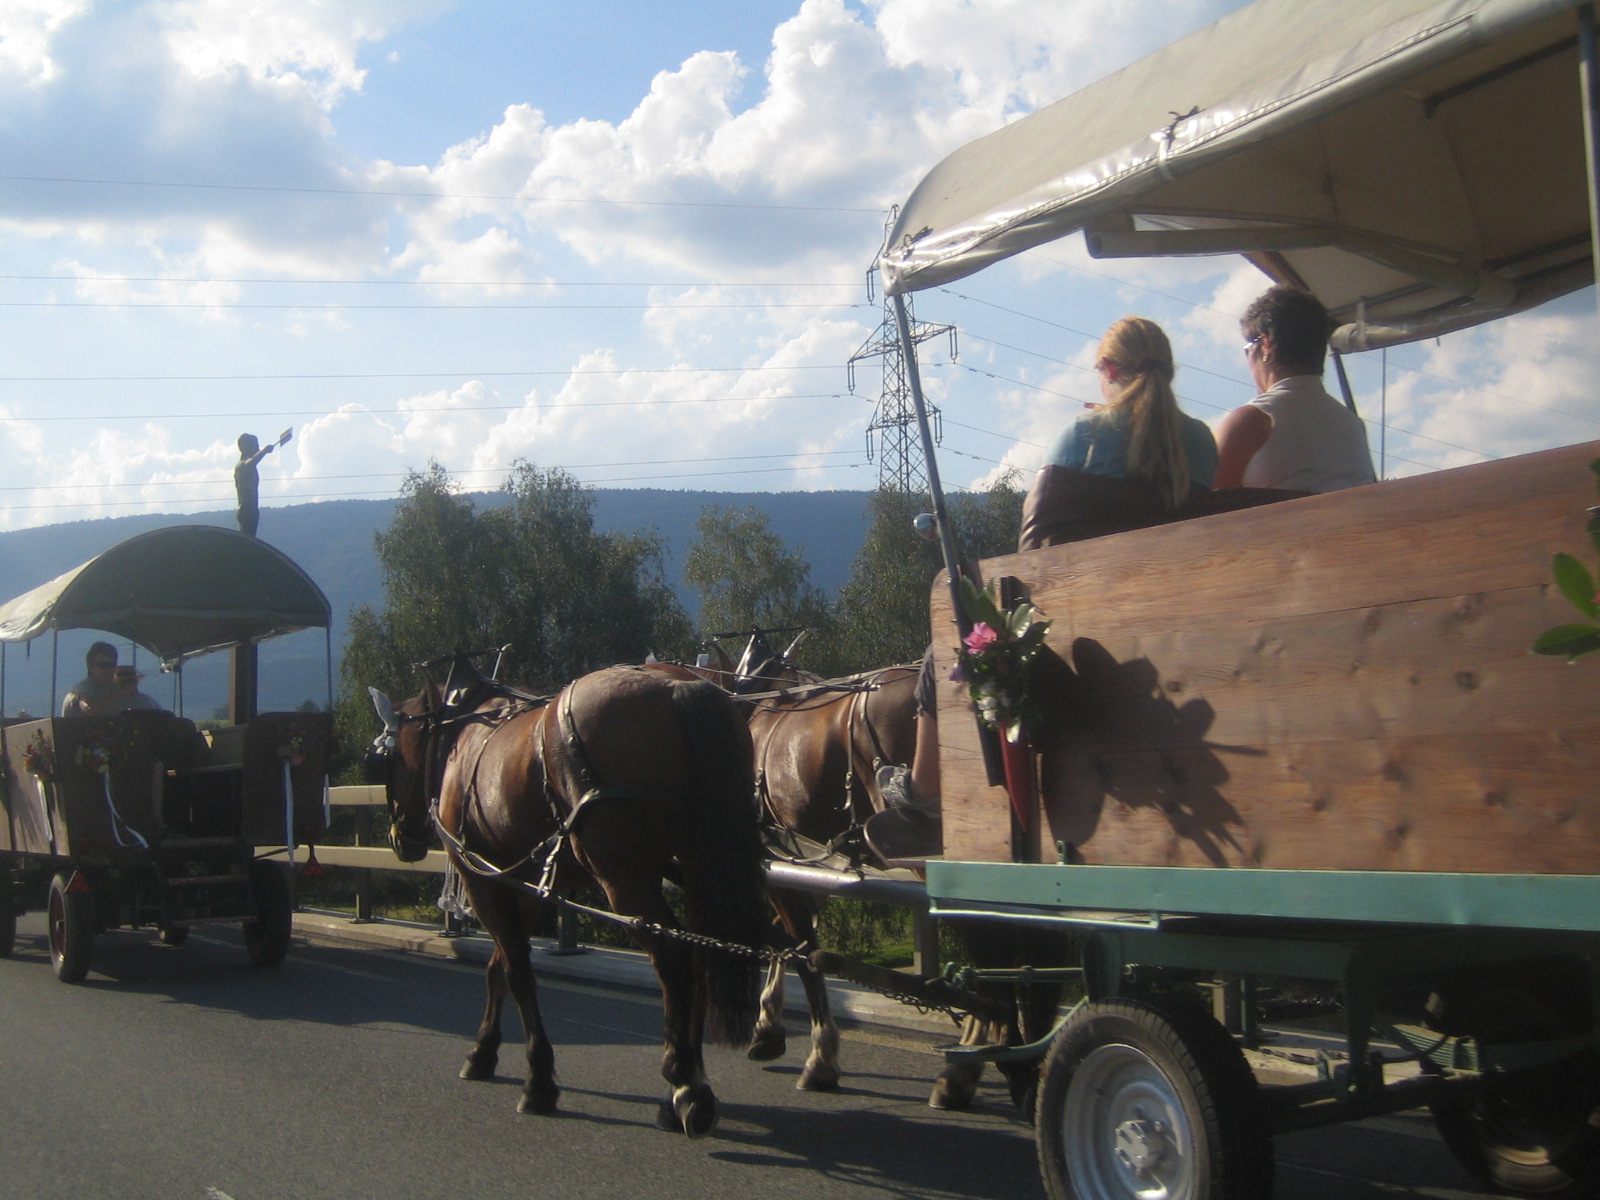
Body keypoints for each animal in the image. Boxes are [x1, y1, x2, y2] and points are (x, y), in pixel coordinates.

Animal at [366, 653, 768, 1137]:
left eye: (387, 759)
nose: (398, 838)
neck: (463, 730)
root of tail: (679, 689)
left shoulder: (483, 881)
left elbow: (518, 972)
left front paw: (539, 1079)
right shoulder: (519, 883)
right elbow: (498, 968)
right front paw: (483, 1051)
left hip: (626, 880)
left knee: (674, 958)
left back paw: (686, 1083)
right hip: (699, 863)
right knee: (700, 953)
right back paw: (684, 1086)